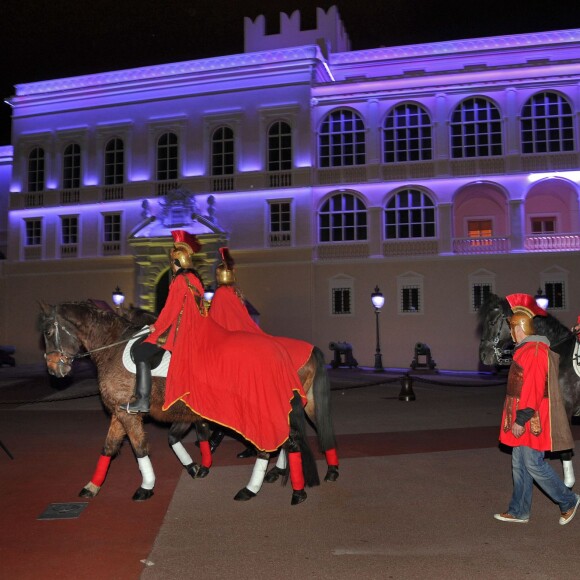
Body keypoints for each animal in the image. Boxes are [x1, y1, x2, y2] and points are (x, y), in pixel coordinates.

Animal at [39, 302, 336, 506]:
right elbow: (111, 447)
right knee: (287, 440)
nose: (54, 369)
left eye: (49, 331)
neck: (112, 347)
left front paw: (147, 485)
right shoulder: (121, 411)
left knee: (277, 443)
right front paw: (92, 486)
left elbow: (140, 448)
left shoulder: (133, 414)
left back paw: (266, 488)